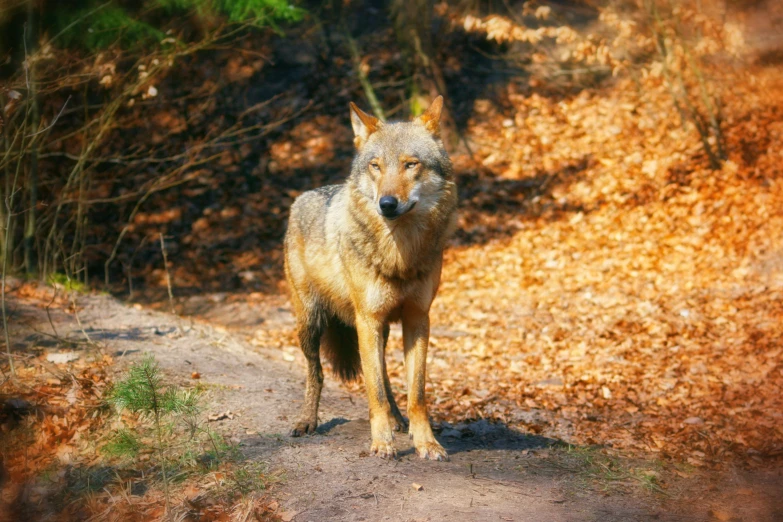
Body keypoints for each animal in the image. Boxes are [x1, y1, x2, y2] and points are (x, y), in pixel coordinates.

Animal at [284, 96, 460, 460]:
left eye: (411, 164)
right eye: (376, 166)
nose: (387, 203)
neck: (400, 253)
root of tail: (302, 197)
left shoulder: (417, 319)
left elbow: (416, 393)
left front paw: (426, 443)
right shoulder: (368, 319)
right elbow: (373, 390)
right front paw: (381, 443)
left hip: (381, 329)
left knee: (385, 377)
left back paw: (397, 421)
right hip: (311, 323)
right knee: (316, 373)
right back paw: (307, 421)